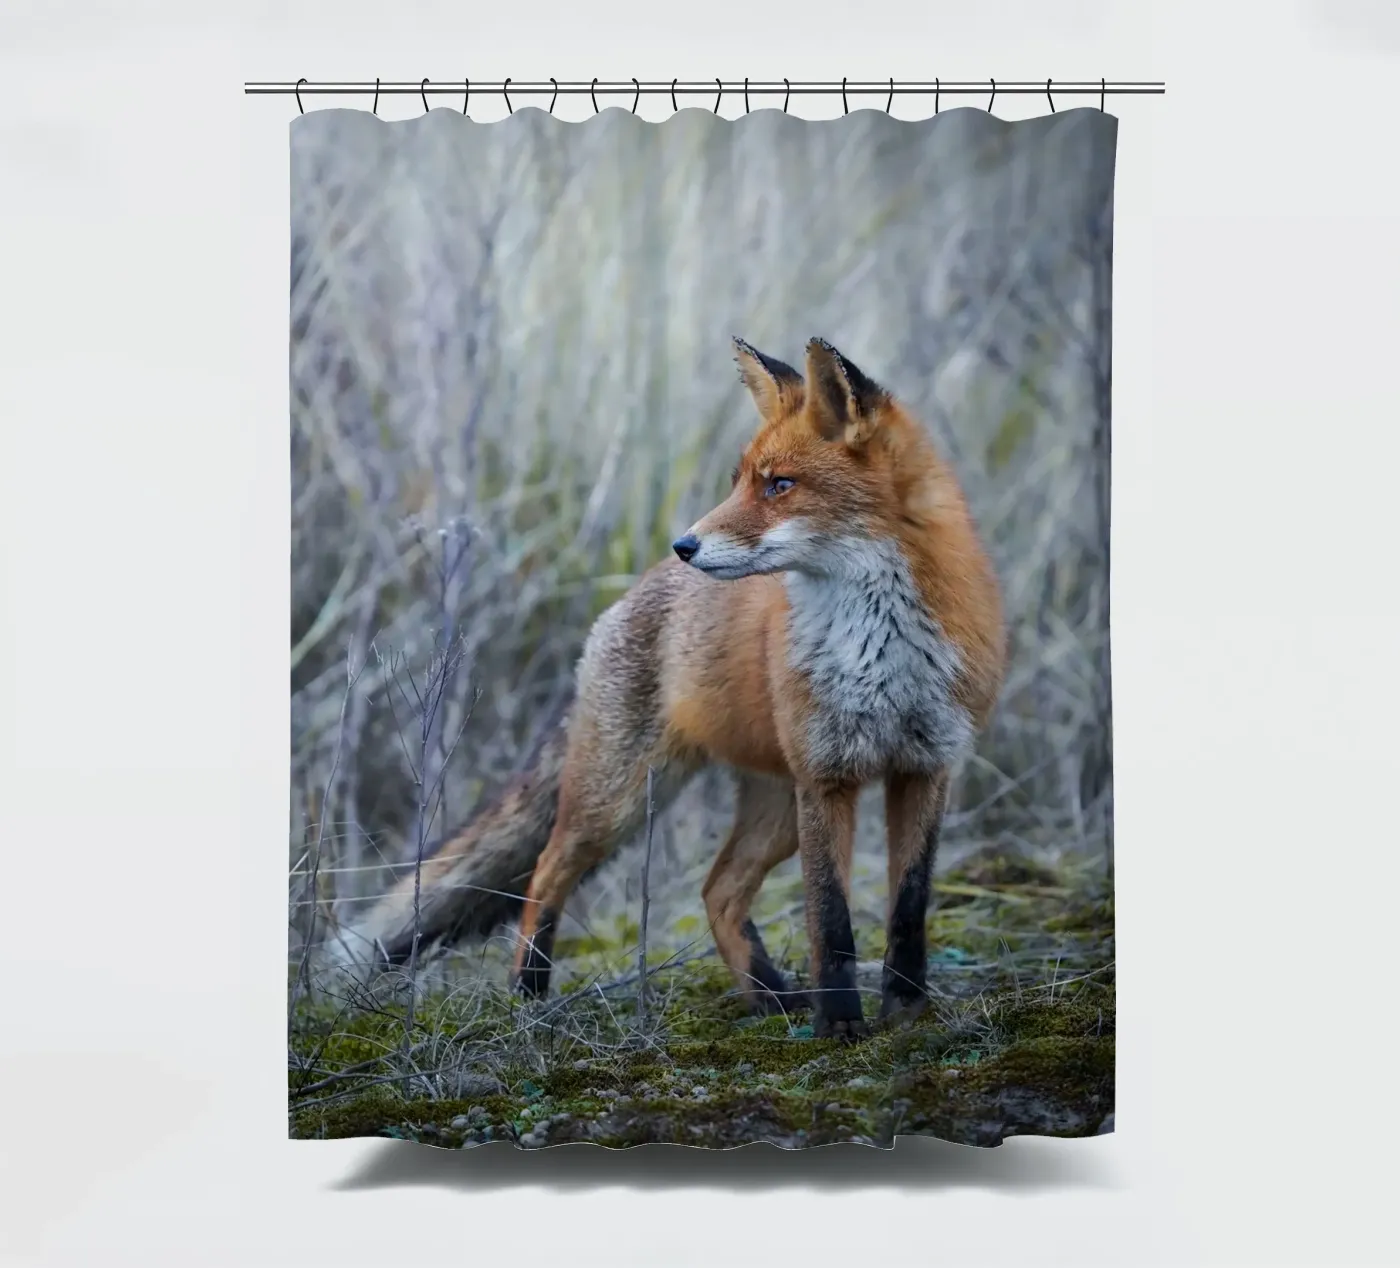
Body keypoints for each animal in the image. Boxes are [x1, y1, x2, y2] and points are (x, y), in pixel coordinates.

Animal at [339, 337, 1006, 1039]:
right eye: (740, 480)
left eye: (780, 485)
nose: (685, 543)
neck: (880, 647)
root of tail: (632, 591)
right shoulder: (827, 777)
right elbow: (831, 922)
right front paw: (841, 1027)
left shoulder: (925, 766)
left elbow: (908, 910)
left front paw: (906, 1015)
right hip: (622, 800)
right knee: (546, 873)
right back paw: (529, 995)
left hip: (775, 808)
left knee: (718, 890)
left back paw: (770, 998)